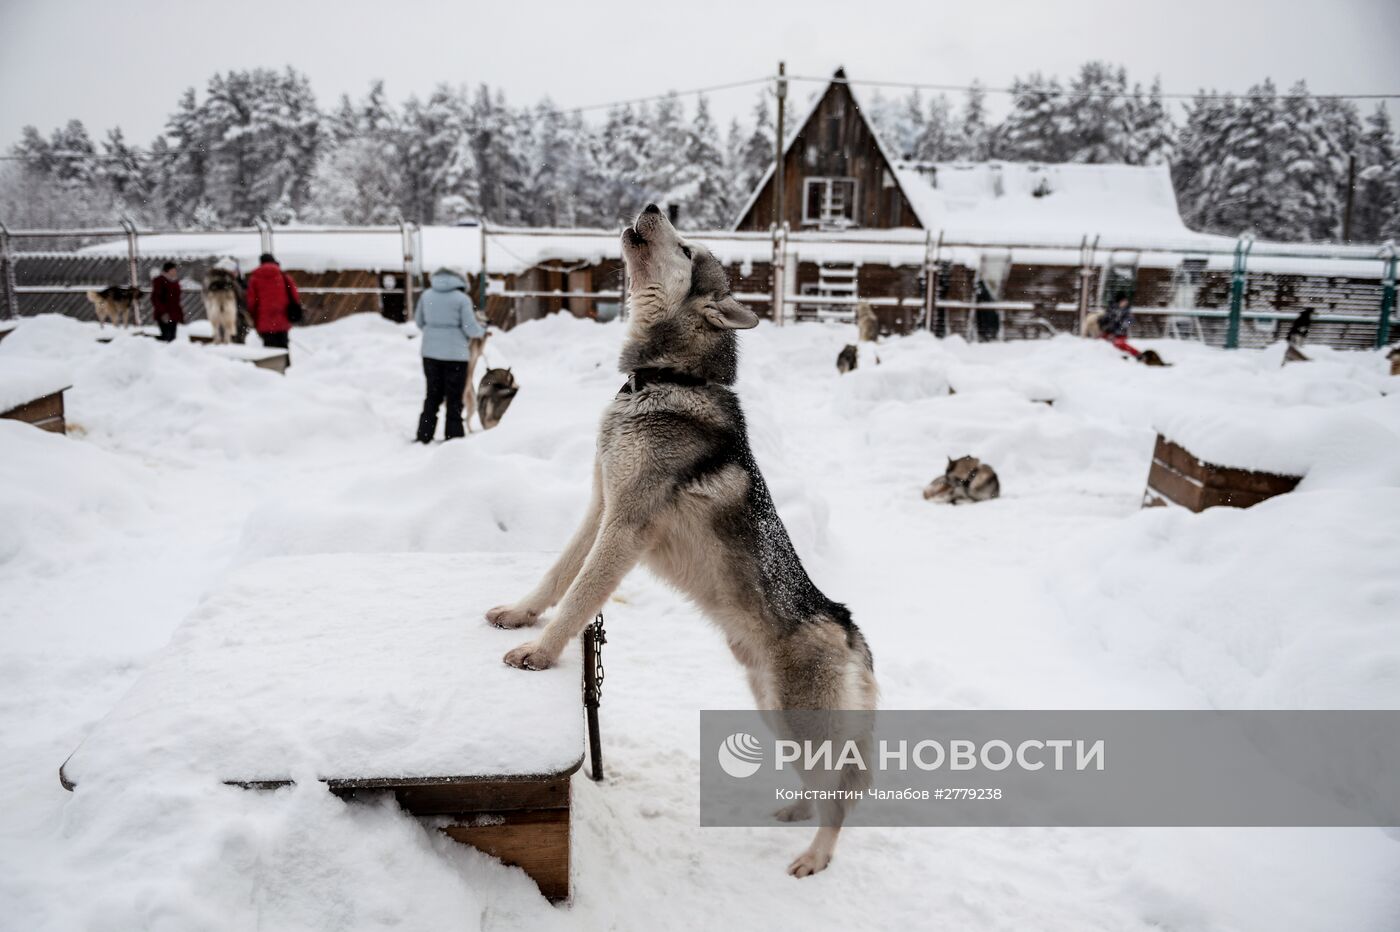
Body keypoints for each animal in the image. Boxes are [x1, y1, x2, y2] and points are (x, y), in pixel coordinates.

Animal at [484, 205, 873, 878]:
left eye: (686, 249)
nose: (653, 207)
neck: (661, 379)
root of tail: (846, 623)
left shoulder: (625, 525)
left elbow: (580, 597)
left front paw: (539, 652)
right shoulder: (599, 507)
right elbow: (556, 576)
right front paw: (519, 615)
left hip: (801, 721)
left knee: (842, 793)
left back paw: (816, 856)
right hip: (772, 710)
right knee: (819, 783)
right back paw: (796, 812)